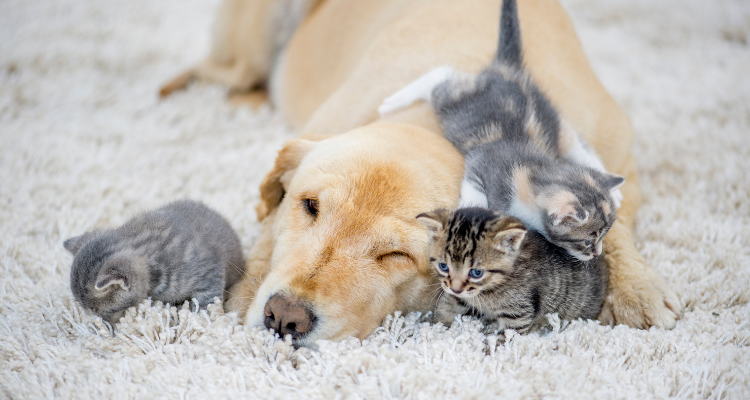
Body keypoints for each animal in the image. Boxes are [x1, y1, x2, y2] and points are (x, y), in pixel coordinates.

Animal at [382, 0, 624, 260]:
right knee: (440, 77)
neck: (532, 170)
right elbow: (476, 193)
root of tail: (508, 70)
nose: (597, 253)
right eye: (589, 240)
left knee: (576, 142)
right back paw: (392, 102)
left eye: (603, 237)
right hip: (457, 105)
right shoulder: (481, 163)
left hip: (552, 120)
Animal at [420, 208, 608, 336]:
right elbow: (447, 303)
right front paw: (436, 323)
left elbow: (509, 334)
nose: (456, 288)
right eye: (444, 266)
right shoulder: (463, 294)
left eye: (476, 273)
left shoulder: (519, 312)